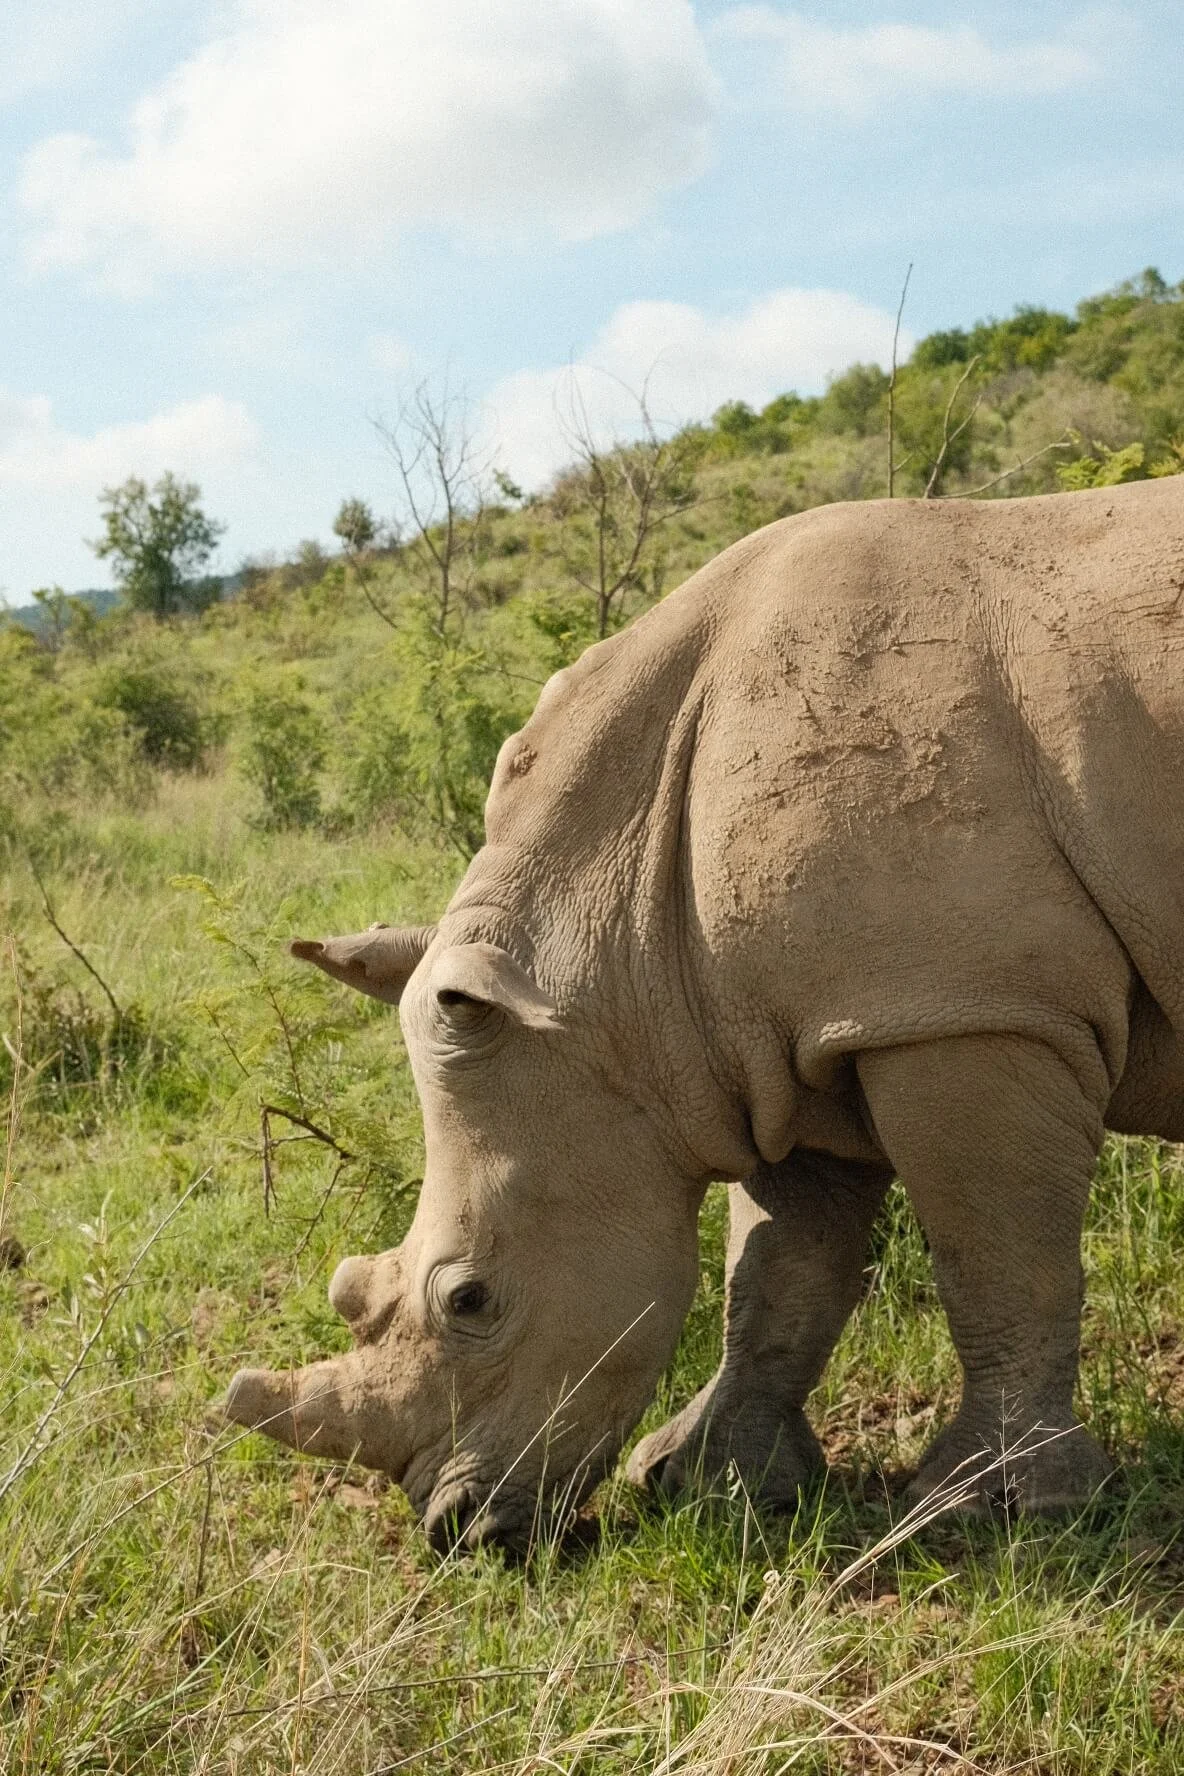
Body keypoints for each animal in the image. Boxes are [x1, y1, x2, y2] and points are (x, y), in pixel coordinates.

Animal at [226, 475, 1184, 1549]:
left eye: (470, 1299)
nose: (457, 1531)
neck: (601, 956)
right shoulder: (802, 1032)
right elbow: (778, 1276)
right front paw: (704, 1483)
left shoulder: (964, 1006)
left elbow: (999, 1254)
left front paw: (997, 1510)